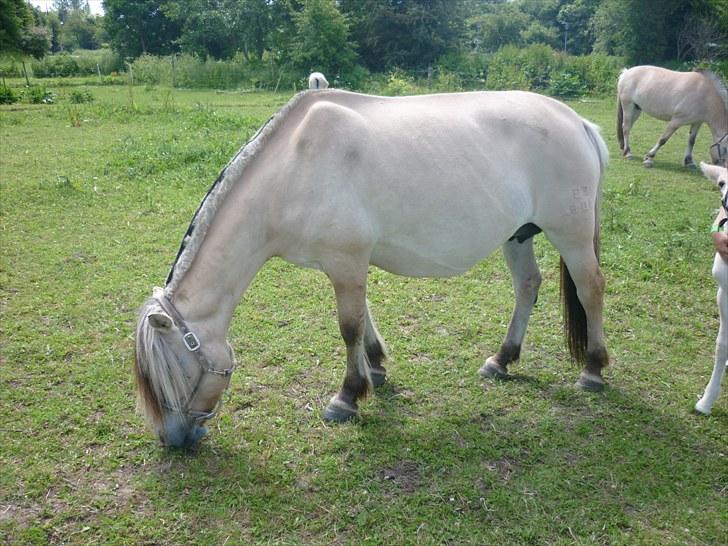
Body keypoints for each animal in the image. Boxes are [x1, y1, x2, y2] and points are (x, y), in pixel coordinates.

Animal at [135, 89, 608, 446]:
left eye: (172, 371)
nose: (172, 440)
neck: (295, 166)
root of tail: (577, 122)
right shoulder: (347, 263)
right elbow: (363, 320)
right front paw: (376, 368)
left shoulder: (347, 261)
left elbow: (348, 326)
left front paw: (346, 397)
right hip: (518, 235)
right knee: (528, 285)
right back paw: (502, 360)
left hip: (570, 233)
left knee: (591, 289)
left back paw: (593, 370)